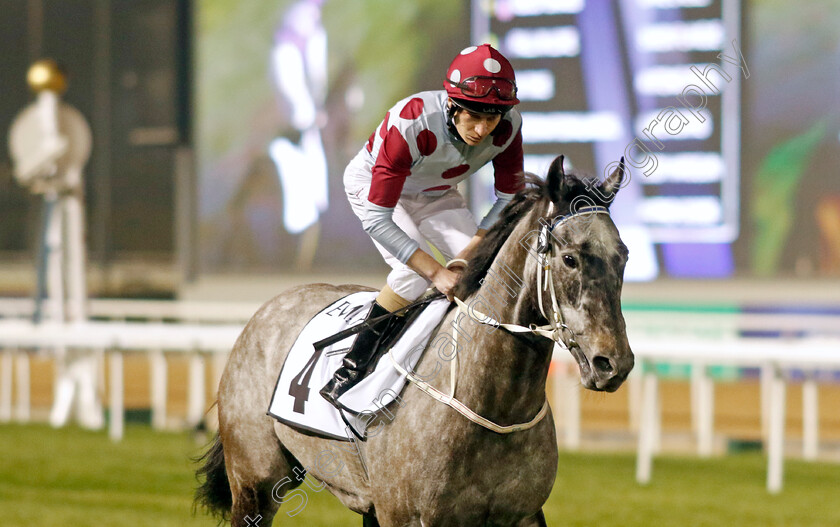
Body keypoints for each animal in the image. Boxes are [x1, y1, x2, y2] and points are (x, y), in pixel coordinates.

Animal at [195, 155, 632, 524]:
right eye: (570, 258)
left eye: (623, 256)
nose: (614, 363)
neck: (495, 405)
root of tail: (268, 307)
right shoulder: (408, 516)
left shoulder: (522, 515)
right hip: (255, 481)